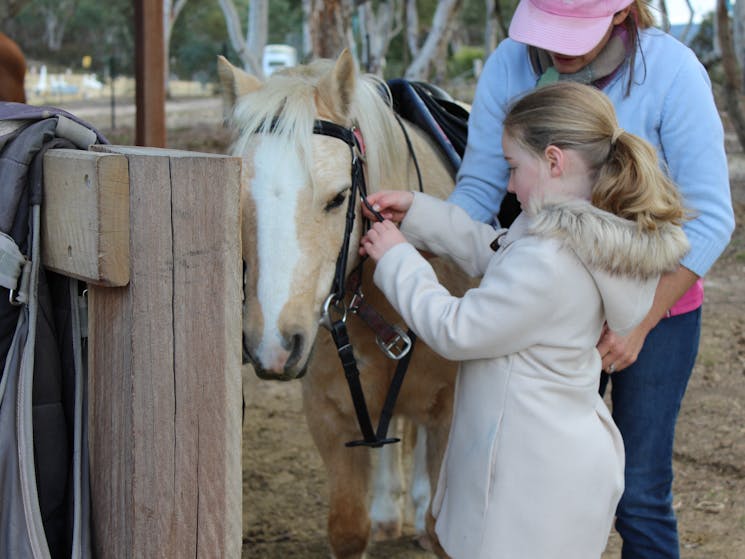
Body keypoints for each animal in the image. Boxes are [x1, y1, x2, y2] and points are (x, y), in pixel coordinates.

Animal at [217, 49, 470, 559]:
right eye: (239, 203)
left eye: (338, 199)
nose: (274, 345)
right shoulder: (328, 414)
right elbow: (349, 528)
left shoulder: (450, 412)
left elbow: (440, 530)